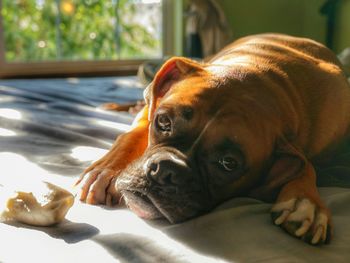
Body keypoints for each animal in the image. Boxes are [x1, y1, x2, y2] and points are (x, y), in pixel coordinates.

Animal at [75, 34, 350, 246]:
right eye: (163, 122)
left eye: (228, 163)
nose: (165, 170)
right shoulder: (150, 112)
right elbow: (131, 136)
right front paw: (107, 169)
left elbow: (306, 165)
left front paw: (306, 201)